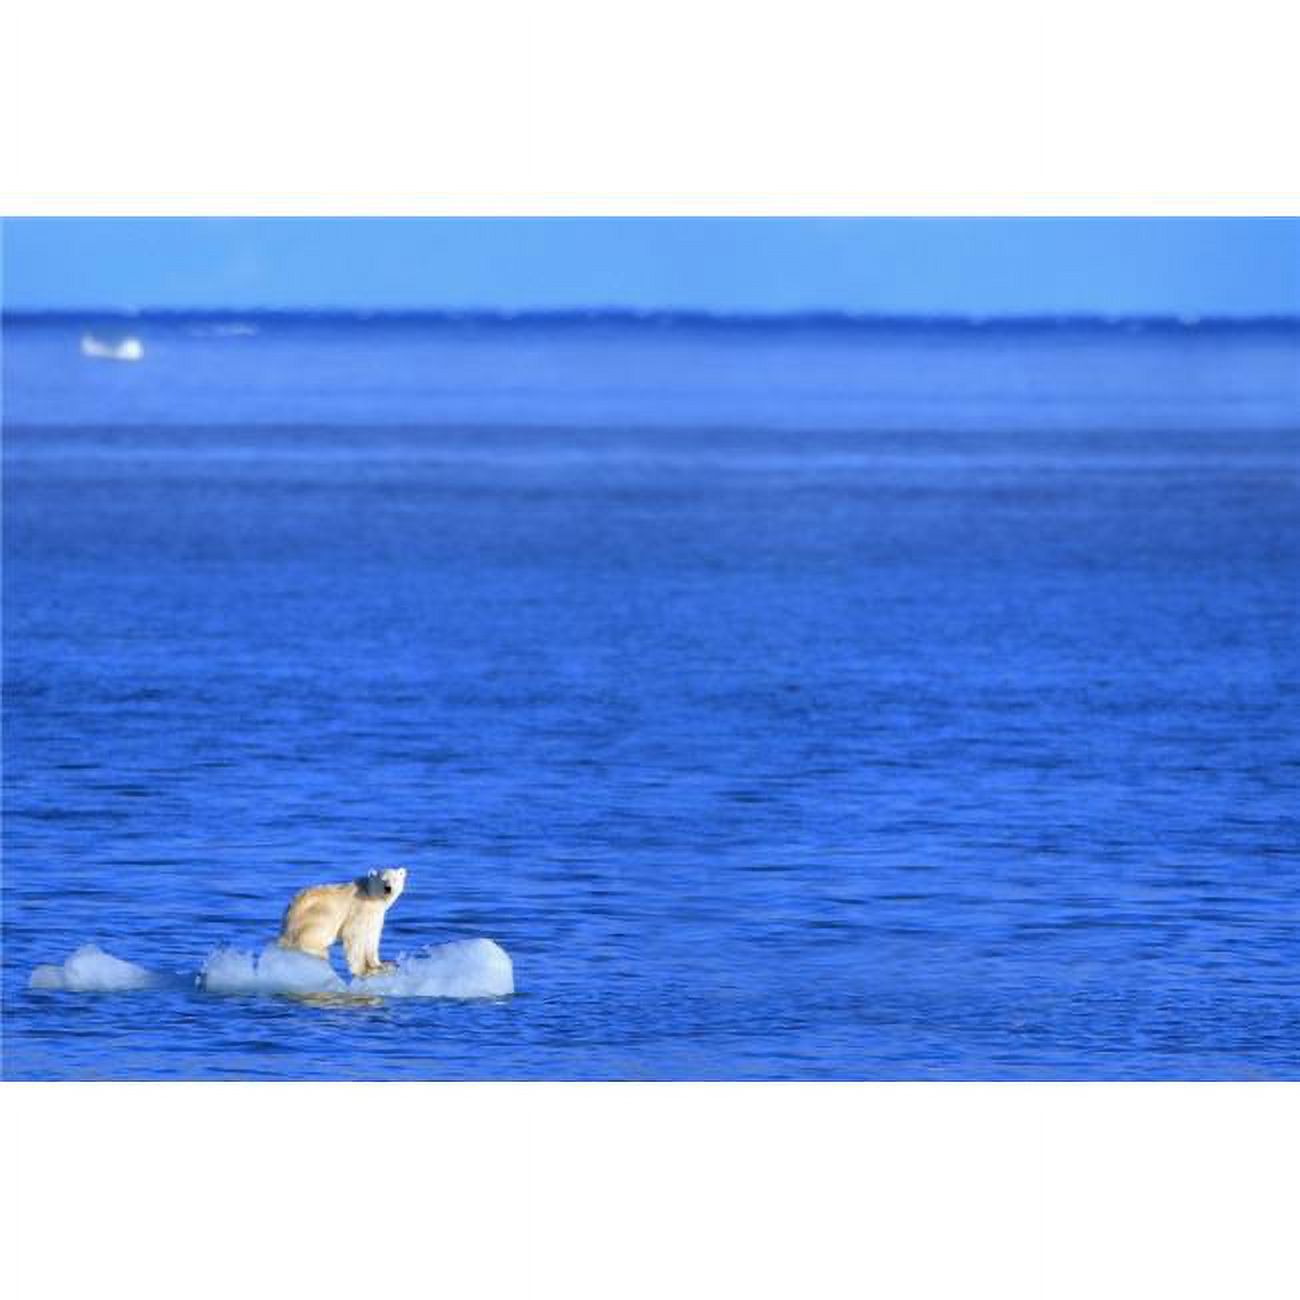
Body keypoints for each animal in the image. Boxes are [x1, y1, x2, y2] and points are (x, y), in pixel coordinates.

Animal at [277, 867, 408, 978]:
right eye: (382, 879)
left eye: (395, 879)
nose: (388, 888)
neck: (369, 894)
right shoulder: (359, 909)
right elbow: (353, 935)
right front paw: (361, 970)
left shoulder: (376, 916)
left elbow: (372, 937)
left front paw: (381, 965)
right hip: (314, 915)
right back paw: (321, 952)